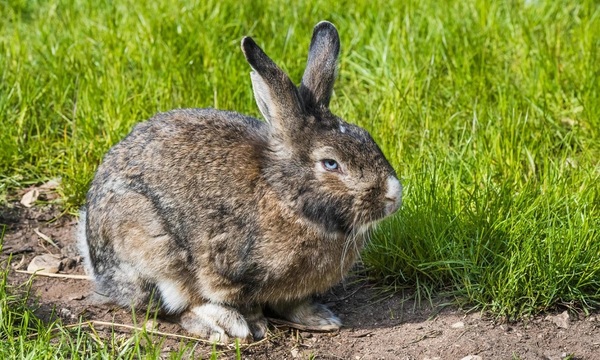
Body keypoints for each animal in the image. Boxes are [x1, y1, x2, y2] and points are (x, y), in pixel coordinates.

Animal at [77, 20, 400, 344]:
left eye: (366, 136)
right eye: (331, 163)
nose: (394, 195)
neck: (284, 197)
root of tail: (93, 253)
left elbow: (293, 303)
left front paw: (320, 319)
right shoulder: (228, 272)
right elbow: (245, 303)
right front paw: (256, 326)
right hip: (150, 250)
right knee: (169, 306)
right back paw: (221, 324)